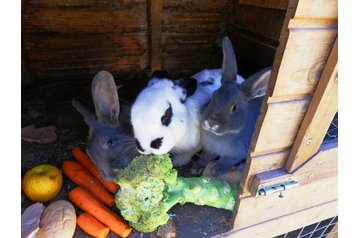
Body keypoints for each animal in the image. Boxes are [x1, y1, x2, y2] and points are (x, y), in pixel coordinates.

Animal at [193, 36, 272, 177]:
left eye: (235, 107)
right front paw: (196, 167)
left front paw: (215, 170)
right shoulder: (209, 149)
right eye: (213, 97)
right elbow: (205, 157)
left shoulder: (235, 155)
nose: (211, 123)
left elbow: (226, 161)